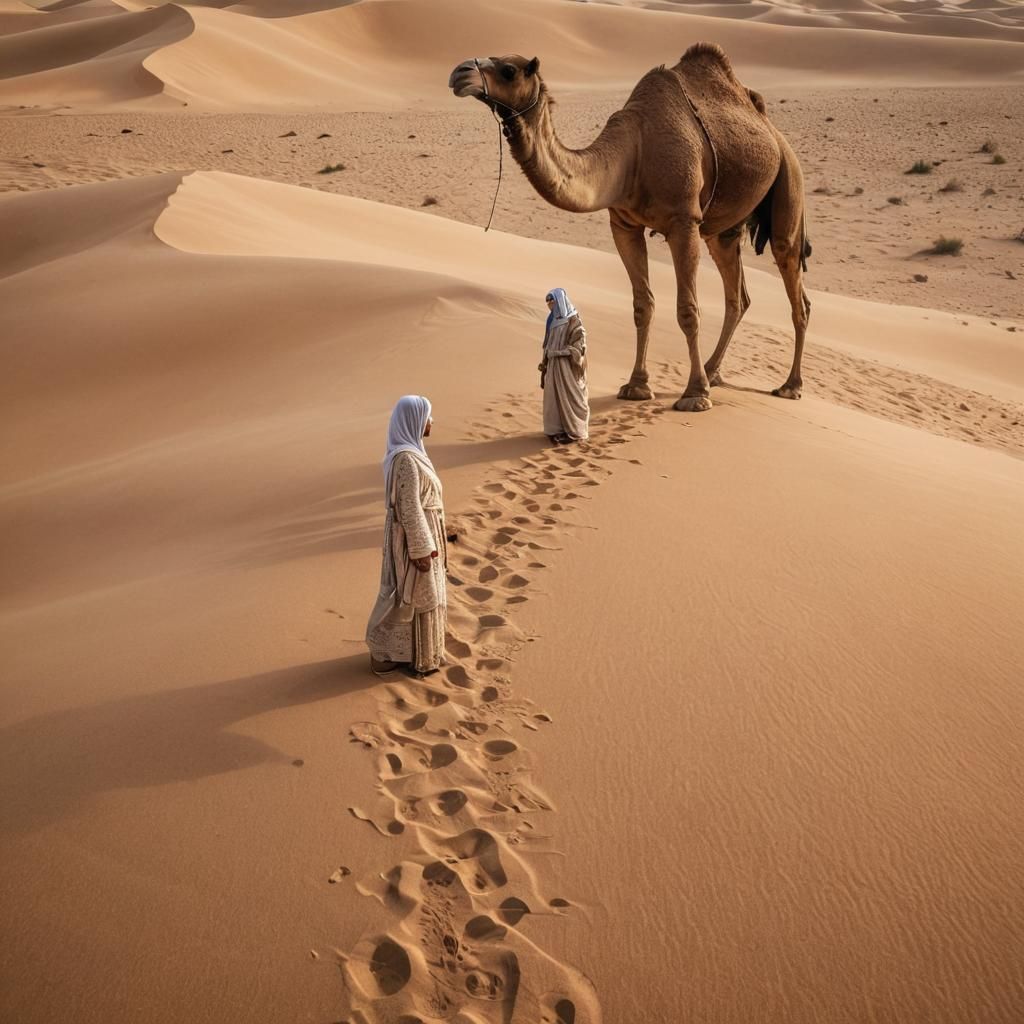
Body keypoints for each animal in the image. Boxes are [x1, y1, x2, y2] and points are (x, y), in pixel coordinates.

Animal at [448, 45, 811, 411]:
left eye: (508, 70)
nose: (458, 73)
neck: (634, 151)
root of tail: (776, 134)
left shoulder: (684, 222)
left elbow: (688, 309)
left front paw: (695, 394)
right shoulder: (623, 224)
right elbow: (642, 305)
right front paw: (637, 385)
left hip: (789, 181)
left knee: (794, 284)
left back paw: (789, 386)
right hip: (724, 231)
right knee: (738, 296)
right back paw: (713, 371)